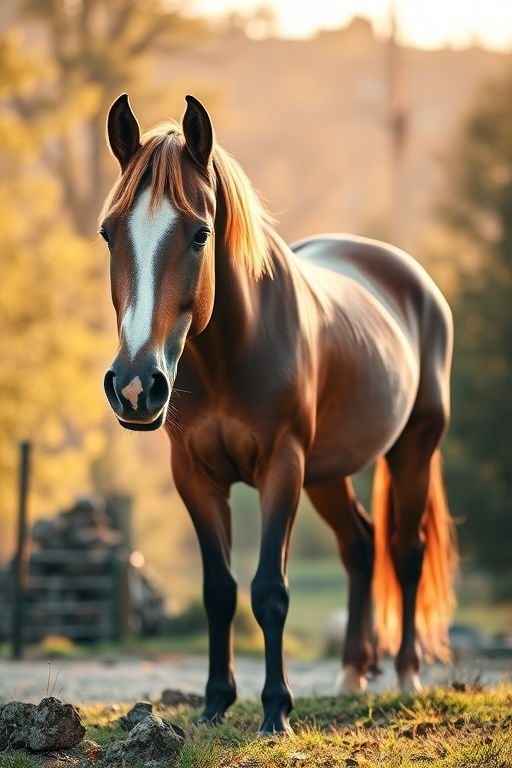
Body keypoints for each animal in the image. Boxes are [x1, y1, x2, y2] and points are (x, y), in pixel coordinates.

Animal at [100, 93, 457, 735]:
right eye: (108, 232)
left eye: (200, 234)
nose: (136, 387)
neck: (229, 355)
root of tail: (411, 278)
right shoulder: (196, 477)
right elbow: (219, 590)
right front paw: (215, 704)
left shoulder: (281, 469)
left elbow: (270, 590)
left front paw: (276, 711)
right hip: (328, 472)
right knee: (361, 545)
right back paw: (351, 673)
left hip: (412, 449)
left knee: (405, 549)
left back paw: (406, 675)